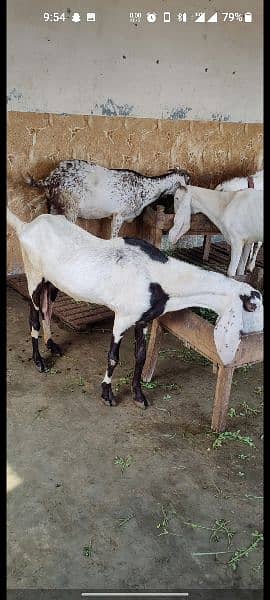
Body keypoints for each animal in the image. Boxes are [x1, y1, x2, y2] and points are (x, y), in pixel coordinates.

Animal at [7, 206, 262, 408]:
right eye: (253, 307)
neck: (160, 276)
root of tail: (26, 226)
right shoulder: (122, 318)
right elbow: (113, 357)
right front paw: (107, 394)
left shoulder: (144, 319)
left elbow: (140, 356)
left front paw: (139, 396)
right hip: (34, 275)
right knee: (34, 316)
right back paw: (39, 361)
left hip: (52, 281)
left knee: (47, 310)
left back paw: (52, 344)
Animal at [24, 161, 191, 238]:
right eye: (188, 181)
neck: (145, 187)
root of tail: (52, 178)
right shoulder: (119, 215)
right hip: (71, 207)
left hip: (53, 205)